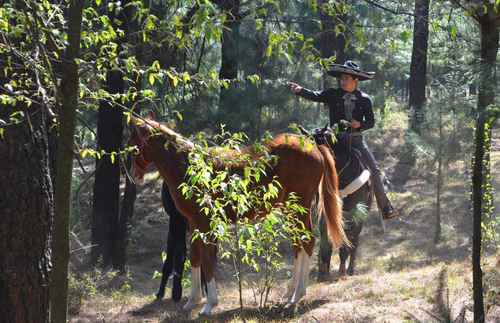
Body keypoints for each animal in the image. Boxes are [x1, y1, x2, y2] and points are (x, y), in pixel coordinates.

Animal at [130, 116, 348, 316]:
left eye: (134, 145)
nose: (134, 176)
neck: (192, 168)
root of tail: (314, 146)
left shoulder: (205, 224)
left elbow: (207, 261)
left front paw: (209, 305)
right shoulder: (193, 224)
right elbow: (195, 258)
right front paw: (193, 301)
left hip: (298, 207)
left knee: (307, 241)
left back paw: (296, 297)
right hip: (291, 209)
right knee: (298, 244)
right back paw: (290, 293)